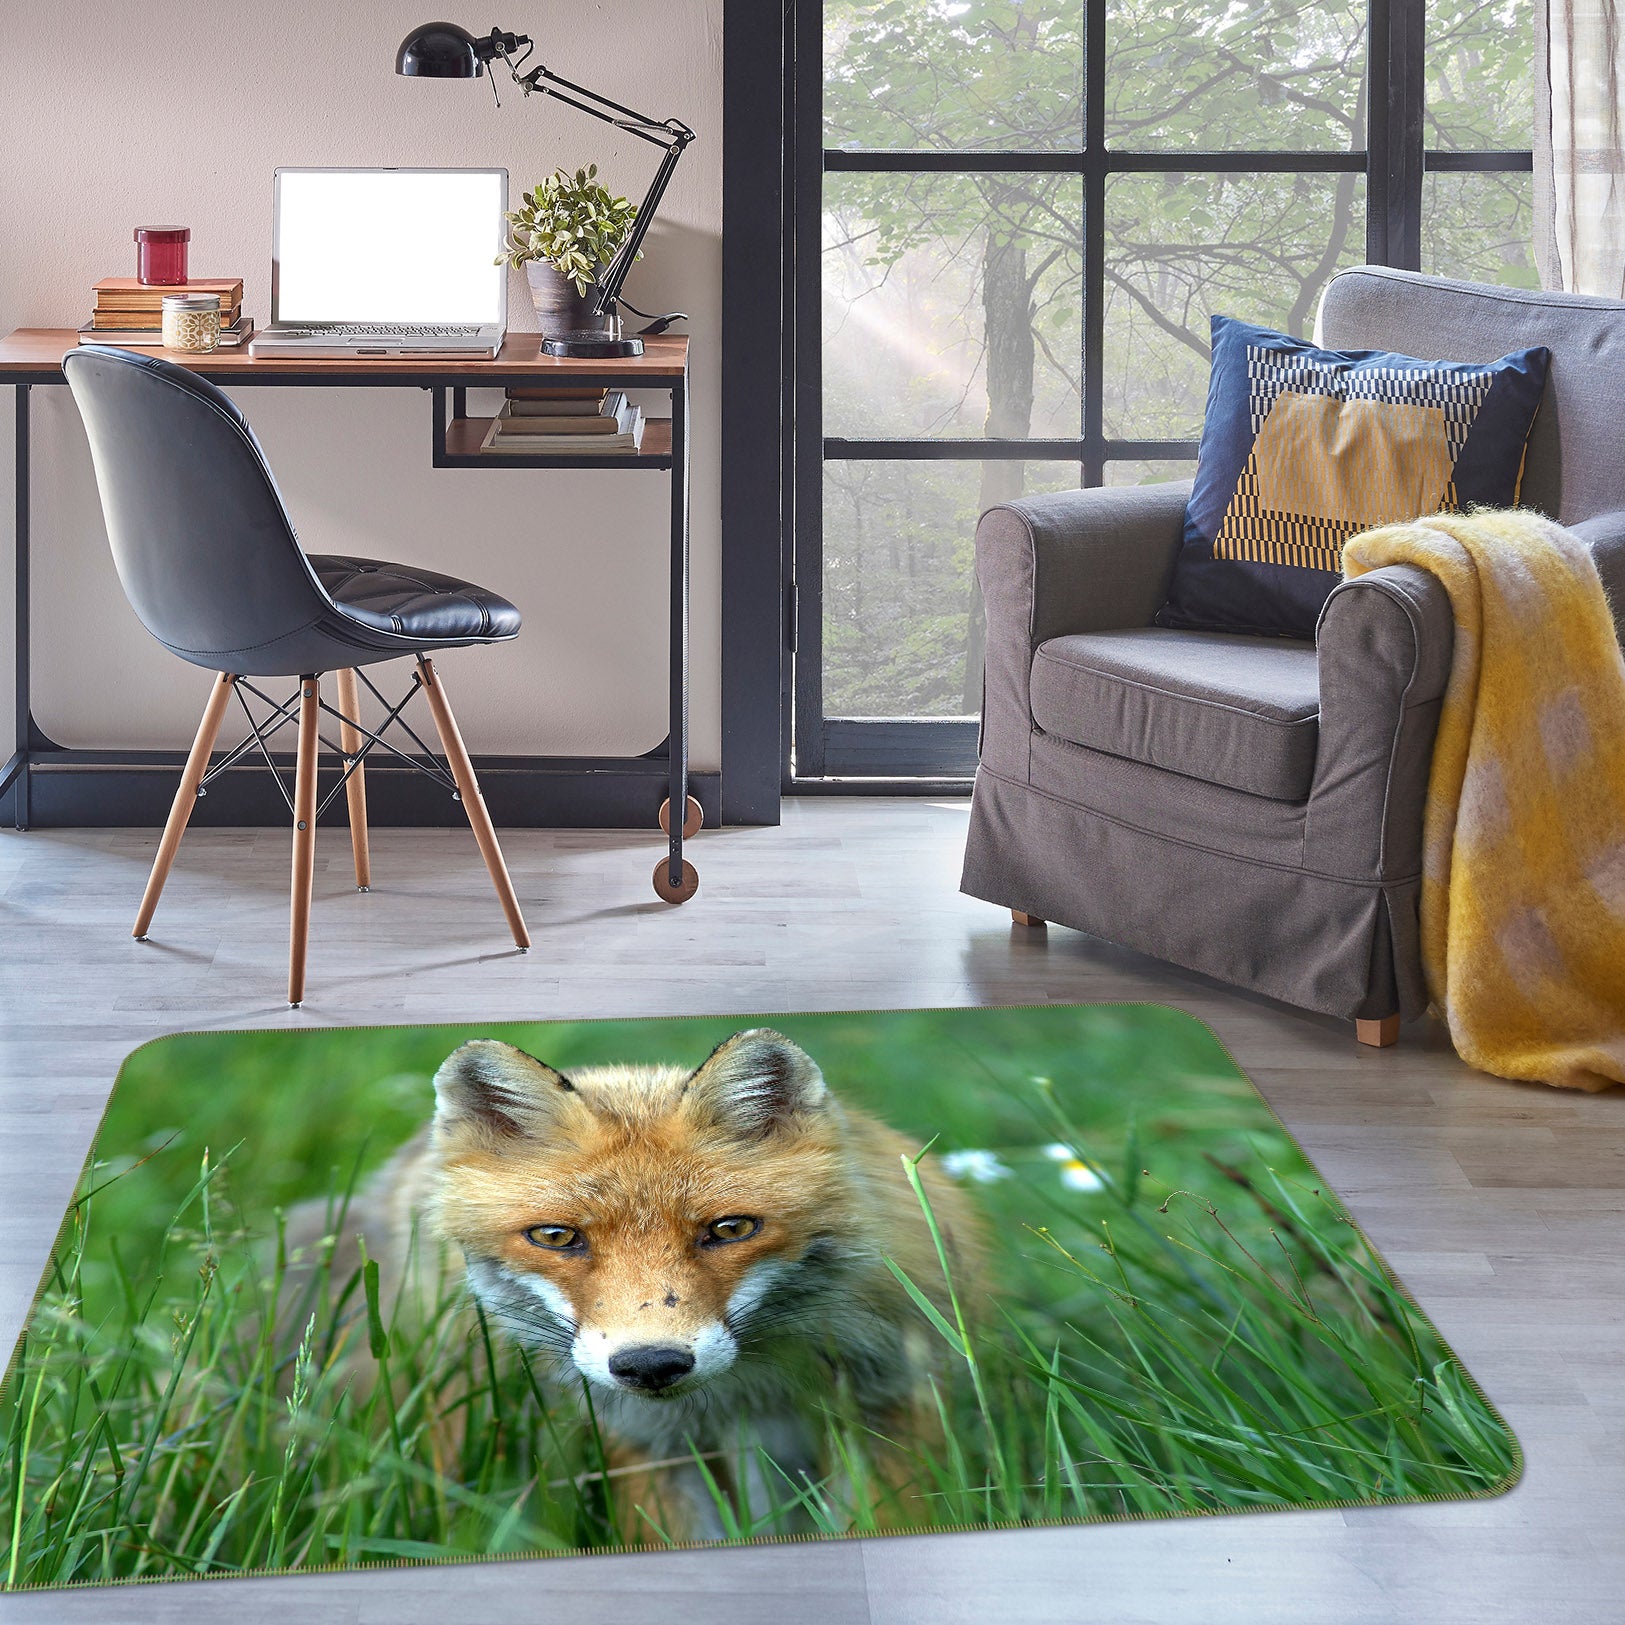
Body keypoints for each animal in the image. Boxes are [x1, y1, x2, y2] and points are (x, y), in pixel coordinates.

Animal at [288, 1028, 985, 1542]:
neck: (751, 1395)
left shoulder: (890, 1399)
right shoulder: (646, 1444)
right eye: (556, 1237)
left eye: (730, 1229)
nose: (651, 1364)